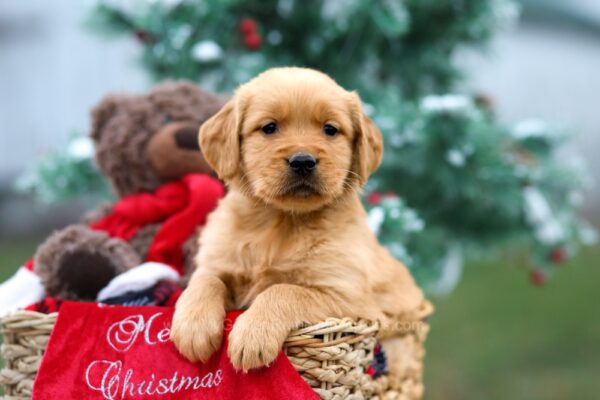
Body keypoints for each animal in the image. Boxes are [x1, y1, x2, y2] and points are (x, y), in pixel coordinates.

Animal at [169, 66, 422, 372]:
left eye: (330, 129)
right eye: (269, 128)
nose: (303, 161)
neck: (282, 222)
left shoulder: (350, 300)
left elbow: (285, 290)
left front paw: (253, 334)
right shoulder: (217, 262)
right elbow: (205, 280)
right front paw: (193, 327)